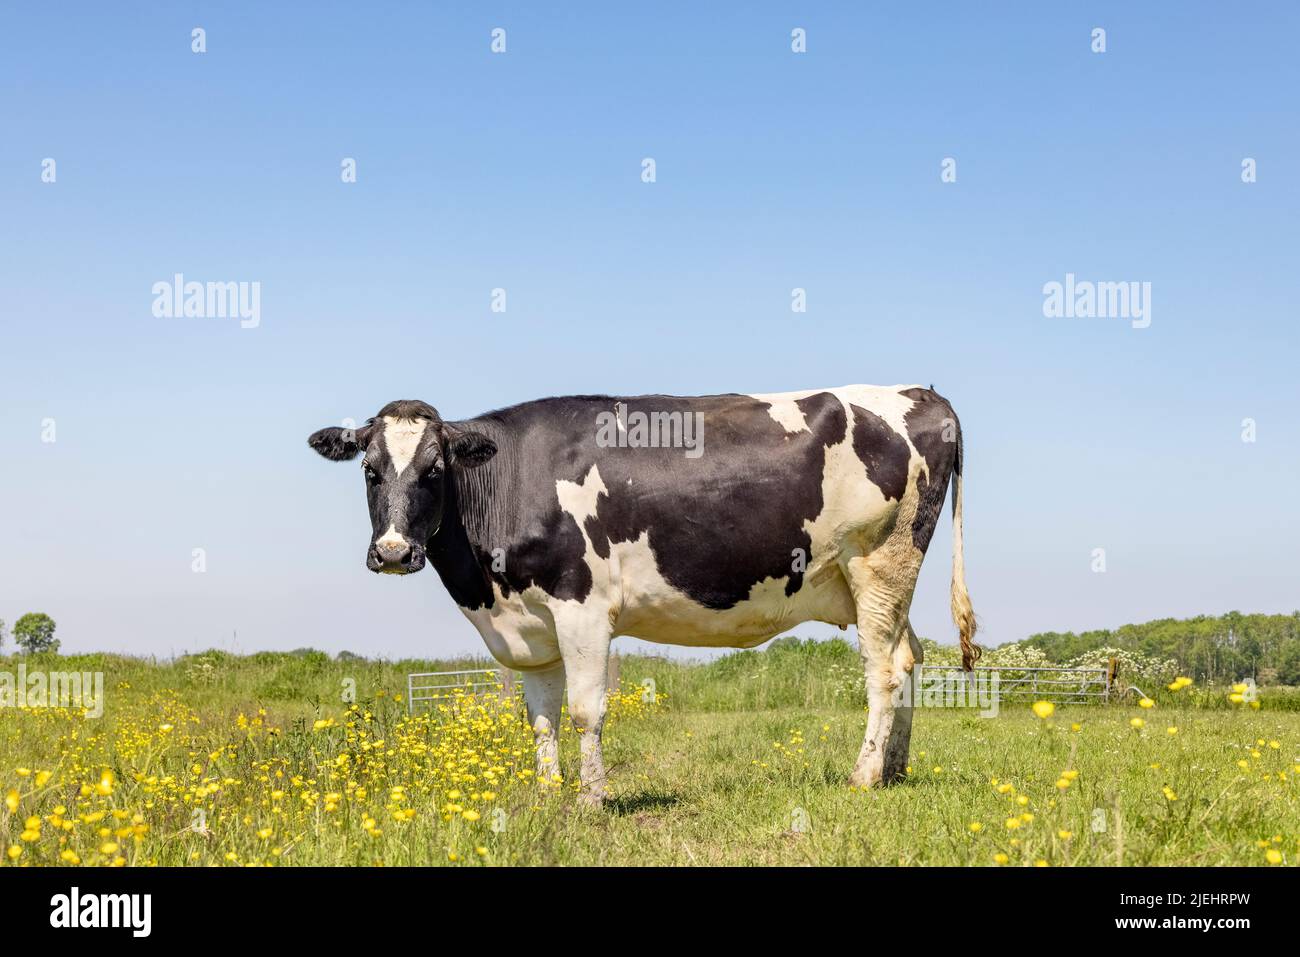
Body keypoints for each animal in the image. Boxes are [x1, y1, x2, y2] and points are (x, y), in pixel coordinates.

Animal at [306, 384, 977, 806]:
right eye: (369, 470)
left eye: (435, 469)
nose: (394, 552)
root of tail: (920, 392)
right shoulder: (532, 625)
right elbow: (542, 717)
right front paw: (548, 794)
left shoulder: (580, 606)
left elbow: (585, 710)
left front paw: (590, 798)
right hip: (884, 583)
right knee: (910, 658)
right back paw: (895, 770)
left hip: (879, 564)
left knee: (884, 670)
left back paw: (864, 775)